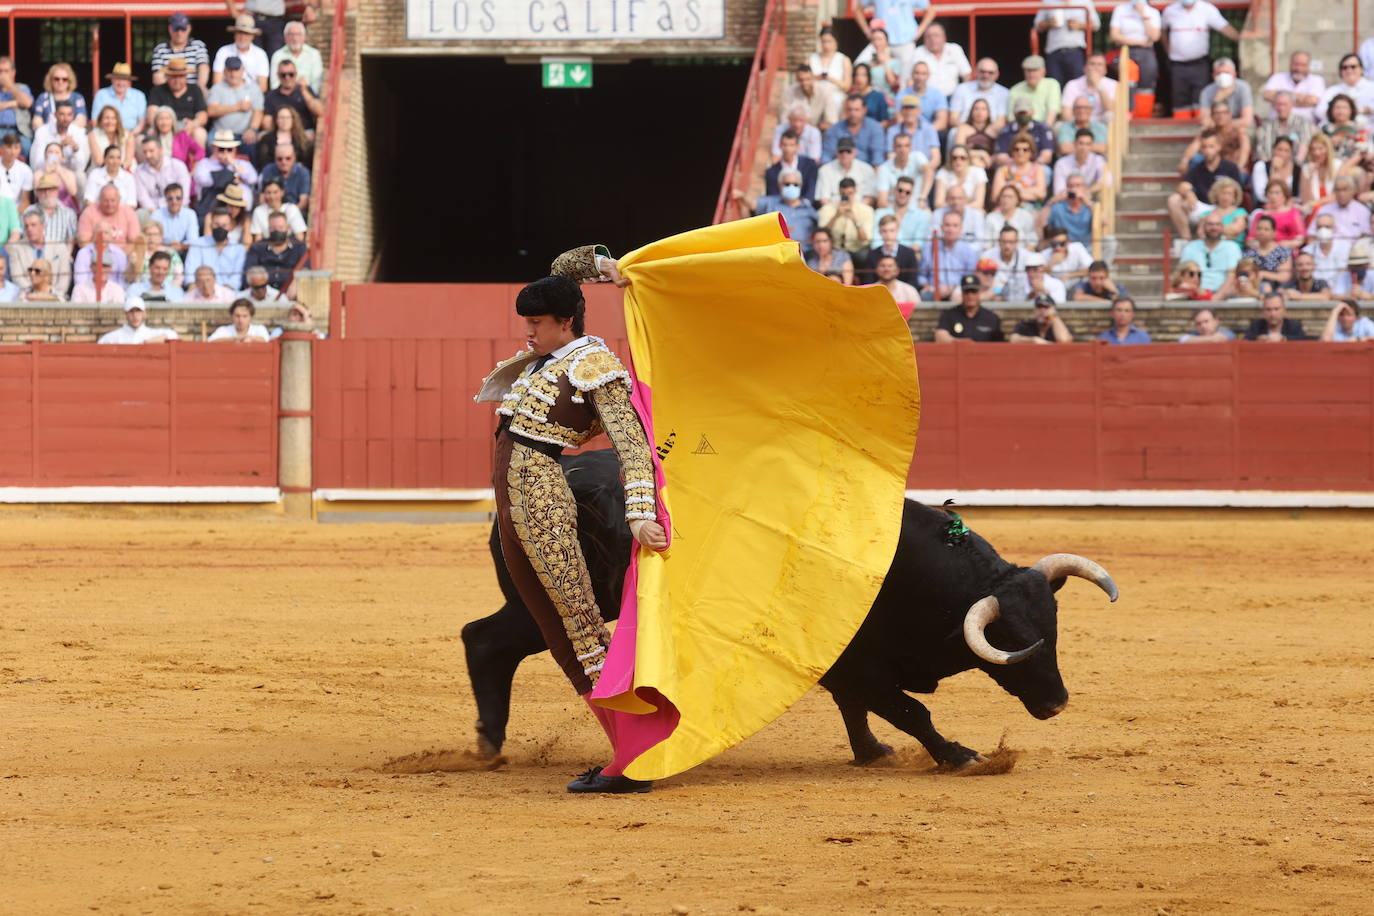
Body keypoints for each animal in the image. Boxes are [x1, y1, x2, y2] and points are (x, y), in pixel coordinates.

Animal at [461, 450, 1115, 769]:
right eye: (1012, 645)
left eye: (1054, 633)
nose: (1057, 703)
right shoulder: (855, 661)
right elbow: (908, 710)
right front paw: (961, 756)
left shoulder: (847, 664)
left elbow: (859, 709)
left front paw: (871, 754)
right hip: (565, 601)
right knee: (483, 639)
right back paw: (492, 748)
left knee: (487, 640)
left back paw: (491, 745)